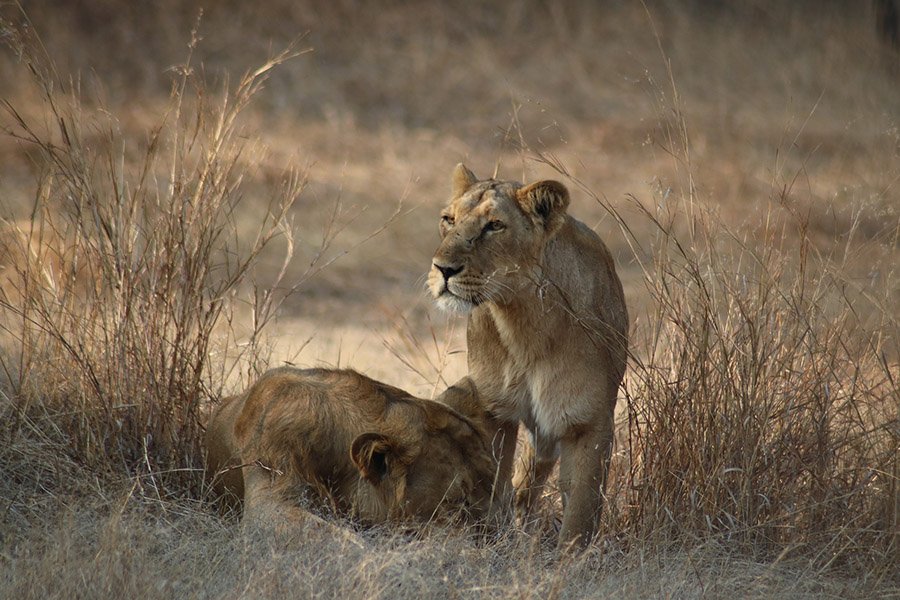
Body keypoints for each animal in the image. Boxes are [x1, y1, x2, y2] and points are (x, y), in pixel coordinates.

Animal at [427, 164, 629, 549]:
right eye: (448, 219)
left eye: (494, 225)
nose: (443, 269)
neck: (523, 324)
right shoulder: (494, 409)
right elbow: (494, 483)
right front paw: (490, 542)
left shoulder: (589, 421)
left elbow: (580, 512)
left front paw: (569, 560)